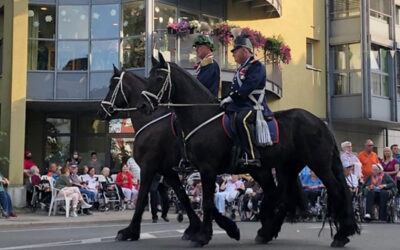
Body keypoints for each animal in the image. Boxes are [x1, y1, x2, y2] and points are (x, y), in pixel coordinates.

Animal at [98, 66, 239, 242]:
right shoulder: (168, 171)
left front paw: (130, 231)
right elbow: (184, 196)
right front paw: (197, 227)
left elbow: (142, 197)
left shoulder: (148, 167)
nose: (101, 111)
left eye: (111, 86)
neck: (151, 119)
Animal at [137, 53, 360, 247]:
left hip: (318, 164)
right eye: (147, 77)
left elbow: (207, 202)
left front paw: (202, 236)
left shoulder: (207, 169)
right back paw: (267, 232)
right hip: (285, 167)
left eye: (159, 77)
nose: (143, 105)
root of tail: (320, 122)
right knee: (283, 196)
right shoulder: (196, 170)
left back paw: (340, 235)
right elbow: (200, 200)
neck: (201, 117)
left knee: (337, 191)